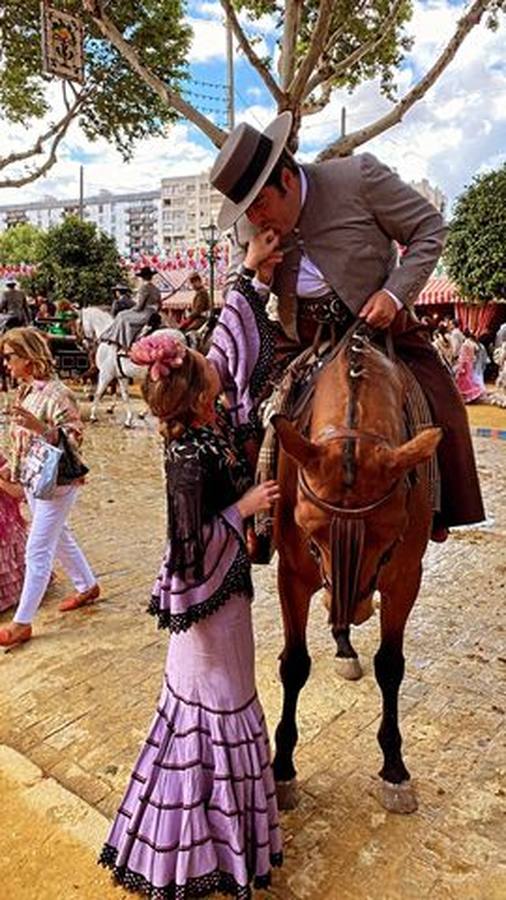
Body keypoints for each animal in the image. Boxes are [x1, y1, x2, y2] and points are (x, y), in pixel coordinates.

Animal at [270, 326, 440, 816]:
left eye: (390, 536)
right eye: (310, 533)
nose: (357, 607)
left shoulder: (405, 577)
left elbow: (391, 665)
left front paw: (395, 767)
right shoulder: (293, 574)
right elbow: (295, 664)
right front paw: (282, 767)